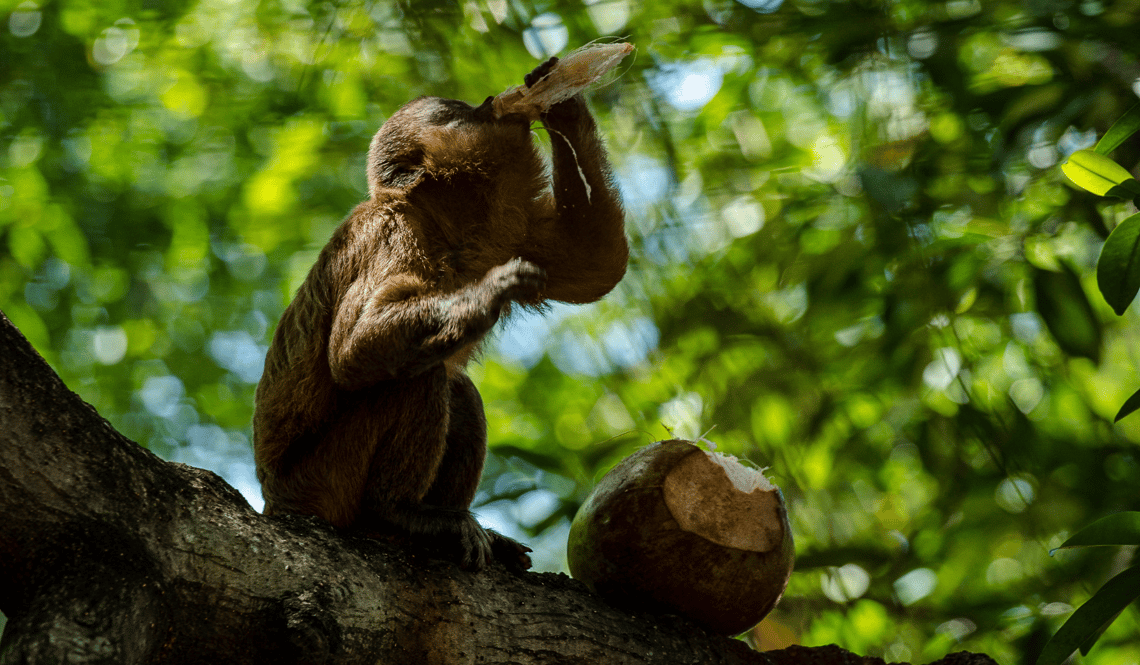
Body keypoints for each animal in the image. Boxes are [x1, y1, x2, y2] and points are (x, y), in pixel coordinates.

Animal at [250, 58, 629, 572]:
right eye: (458, 114)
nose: (489, 103)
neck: (442, 230)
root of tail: (274, 498)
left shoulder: (505, 232)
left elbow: (598, 261)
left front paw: (562, 104)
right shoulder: (392, 232)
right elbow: (353, 351)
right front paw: (490, 291)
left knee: (458, 389)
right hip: (320, 484)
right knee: (417, 377)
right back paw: (395, 512)